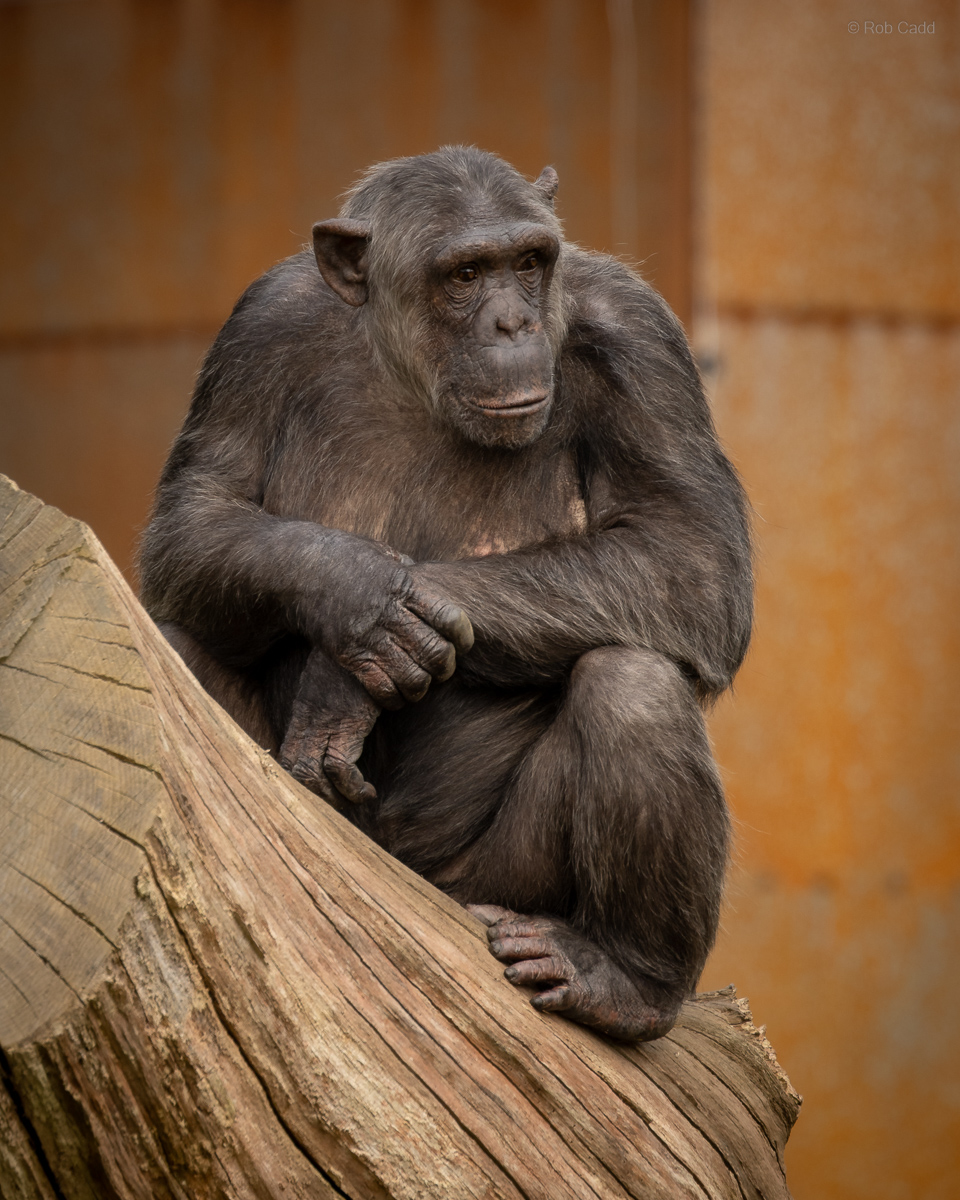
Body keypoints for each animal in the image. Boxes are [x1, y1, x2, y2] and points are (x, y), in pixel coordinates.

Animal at [139, 146, 752, 1042]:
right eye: (465, 275)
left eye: (528, 262)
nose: (512, 324)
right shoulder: (259, 325)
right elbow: (197, 513)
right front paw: (358, 597)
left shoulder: (639, 338)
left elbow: (690, 552)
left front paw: (348, 671)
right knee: (178, 641)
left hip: (492, 888)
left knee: (633, 685)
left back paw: (621, 978)